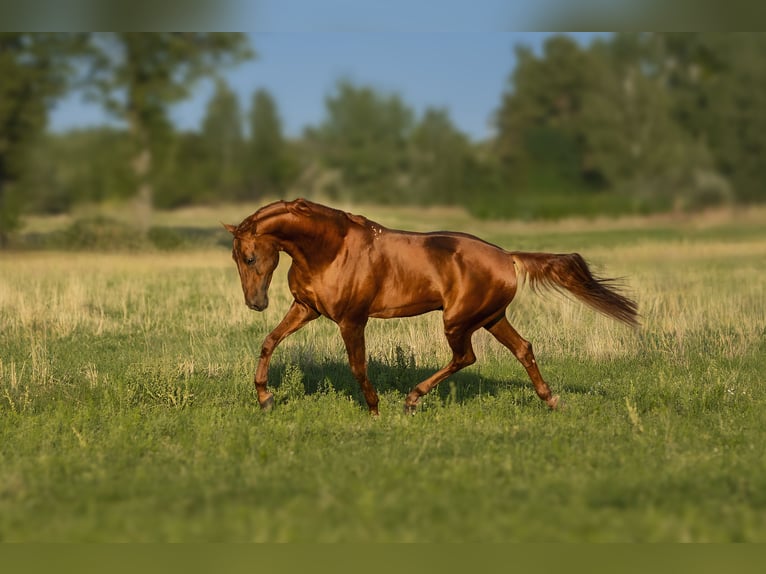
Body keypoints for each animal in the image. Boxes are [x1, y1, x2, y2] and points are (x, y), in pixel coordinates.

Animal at [224, 198, 640, 414]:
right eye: (235, 258)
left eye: (249, 257)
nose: (255, 303)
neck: (331, 250)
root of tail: (508, 257)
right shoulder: (305, 308)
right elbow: (269, 342)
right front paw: (265, 398)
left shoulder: (351, 320)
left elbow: (358, 366)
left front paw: (374, 408)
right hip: (491, 318)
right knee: (523, 348)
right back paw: (550, 400)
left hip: (458, 320)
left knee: (466, 357)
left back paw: (412, 399)